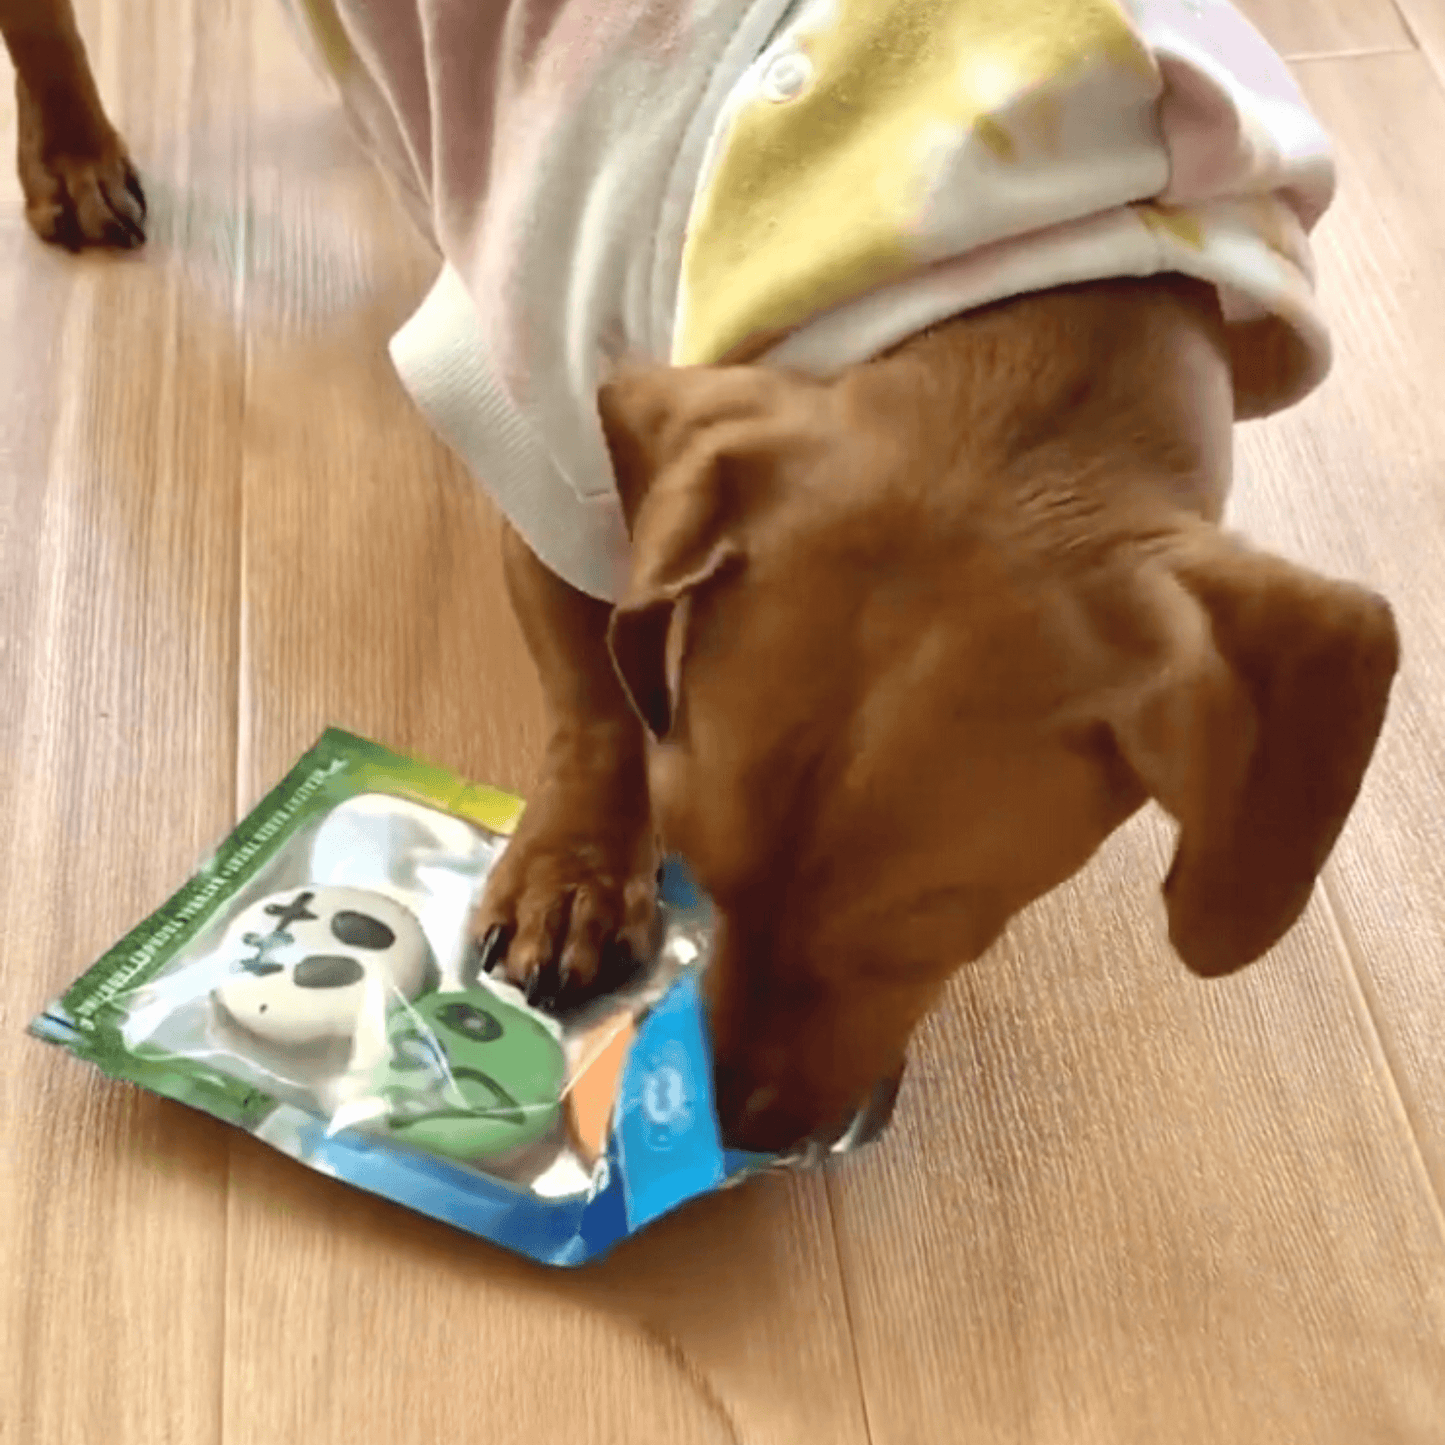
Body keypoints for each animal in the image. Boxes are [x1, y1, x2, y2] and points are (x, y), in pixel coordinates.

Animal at [5, 2, 1392, 1150]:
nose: (741, 1129)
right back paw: (70, 151)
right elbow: (594, 690)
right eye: (703, 871)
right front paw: (574, 871)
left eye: (928, 924)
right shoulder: (541, 416)